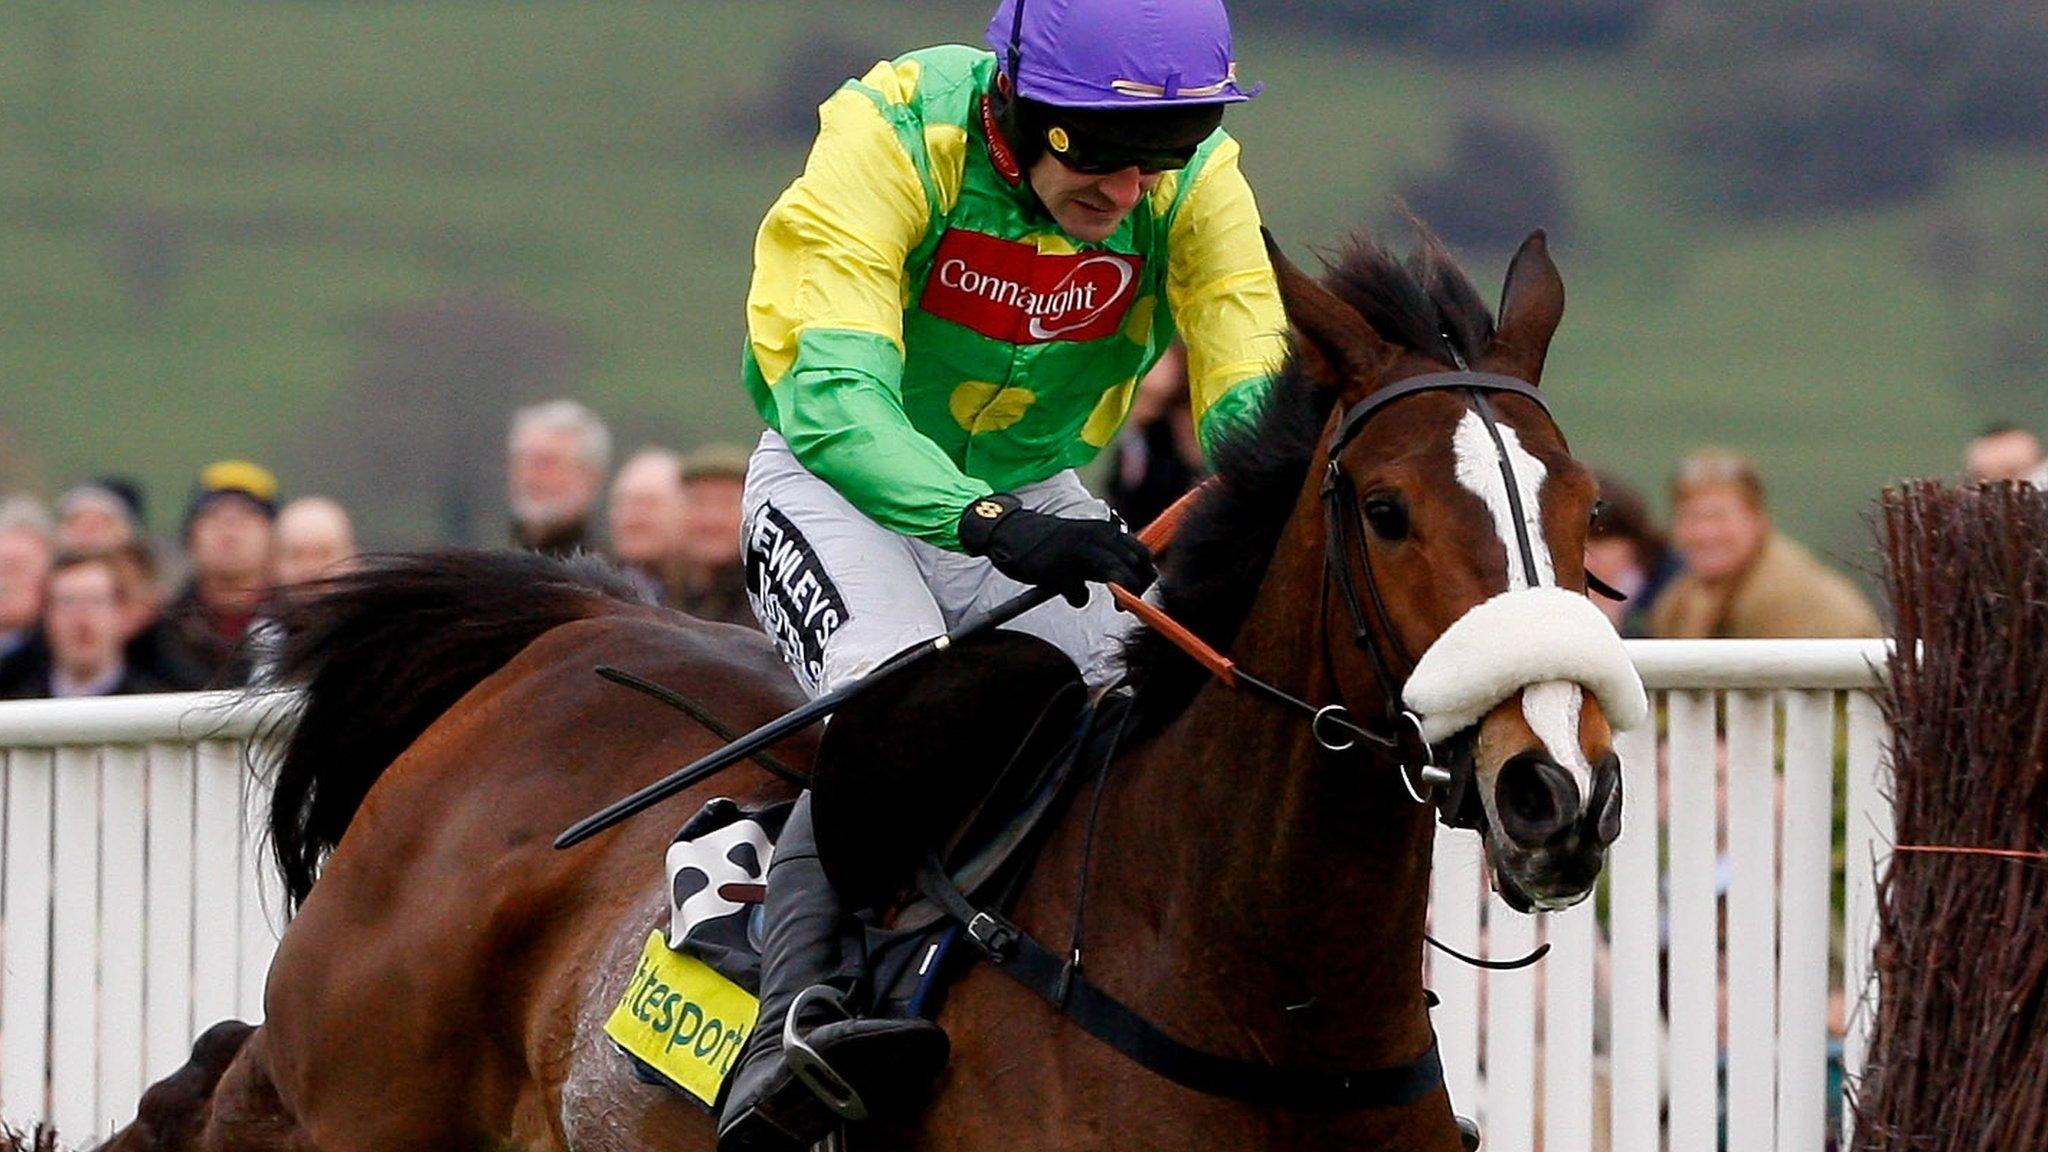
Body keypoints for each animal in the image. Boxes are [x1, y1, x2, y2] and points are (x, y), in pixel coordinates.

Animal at [108, 224, 1646, 1147]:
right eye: (1385, 512)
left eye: (1581, 512)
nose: (1553, 791)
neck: (1268, 1008)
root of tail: (556, 633)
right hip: (350, 1101)